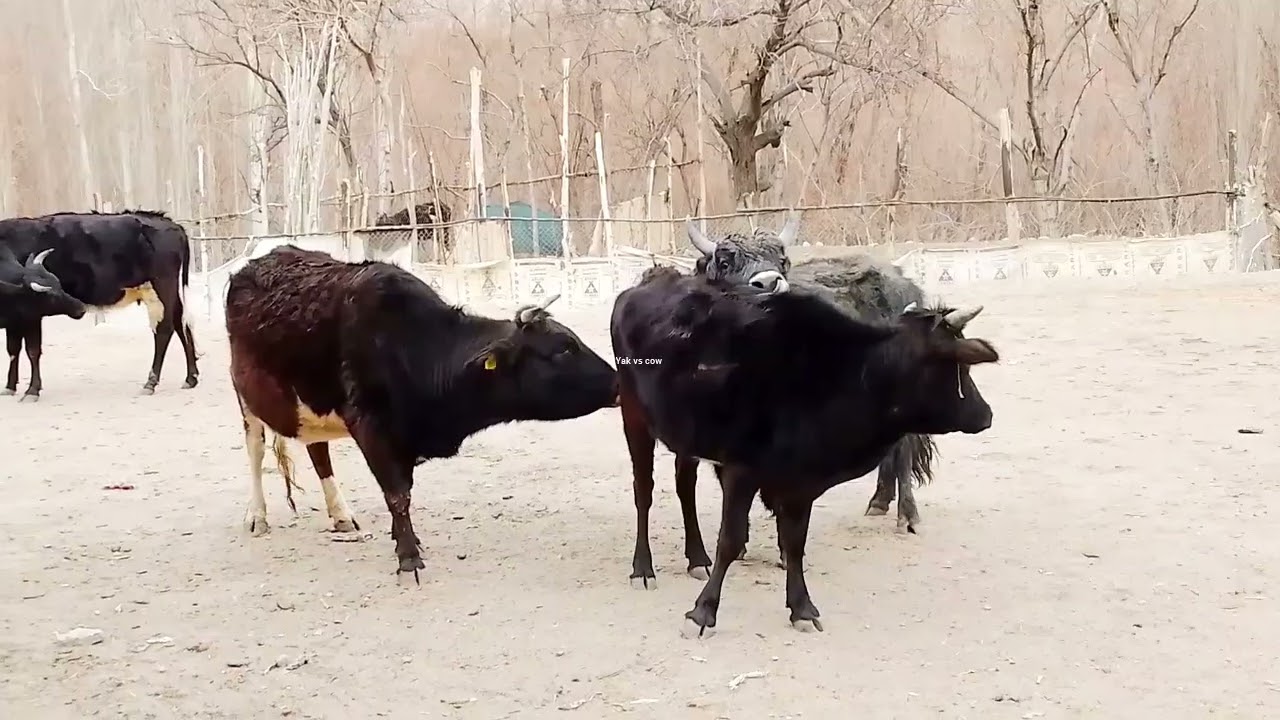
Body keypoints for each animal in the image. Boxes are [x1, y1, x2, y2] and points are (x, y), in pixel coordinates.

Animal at [0, 247, 88, 400]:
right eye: (52, 295)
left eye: (59, 284)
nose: (81, 308)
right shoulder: (17, 323)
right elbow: (14, 351)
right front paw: (12, 387)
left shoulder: (27, 322)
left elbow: (31, 352)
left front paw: (32, 390)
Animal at [225, 245, 618, 582]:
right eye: (563, 349)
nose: (618, 383)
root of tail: (259, 261)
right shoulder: (370, 425)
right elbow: (397, 494)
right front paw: (409, 558)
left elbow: (404, 492)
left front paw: (405, 540)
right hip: (245, 395)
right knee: (256, 449)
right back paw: (257, 516)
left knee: (317, 449)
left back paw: (341, 515)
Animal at [610, 268, 998, 634]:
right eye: (961, 365)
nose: (987, 415)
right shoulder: (741, 470)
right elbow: (730, 541)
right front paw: (703, 613)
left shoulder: (803, 480)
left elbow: (795, 543)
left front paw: (802, 609)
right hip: (634, 415)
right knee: (644, 491)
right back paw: (643, 568)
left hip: (685, 433)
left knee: (684, 485)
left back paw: (696, 558)